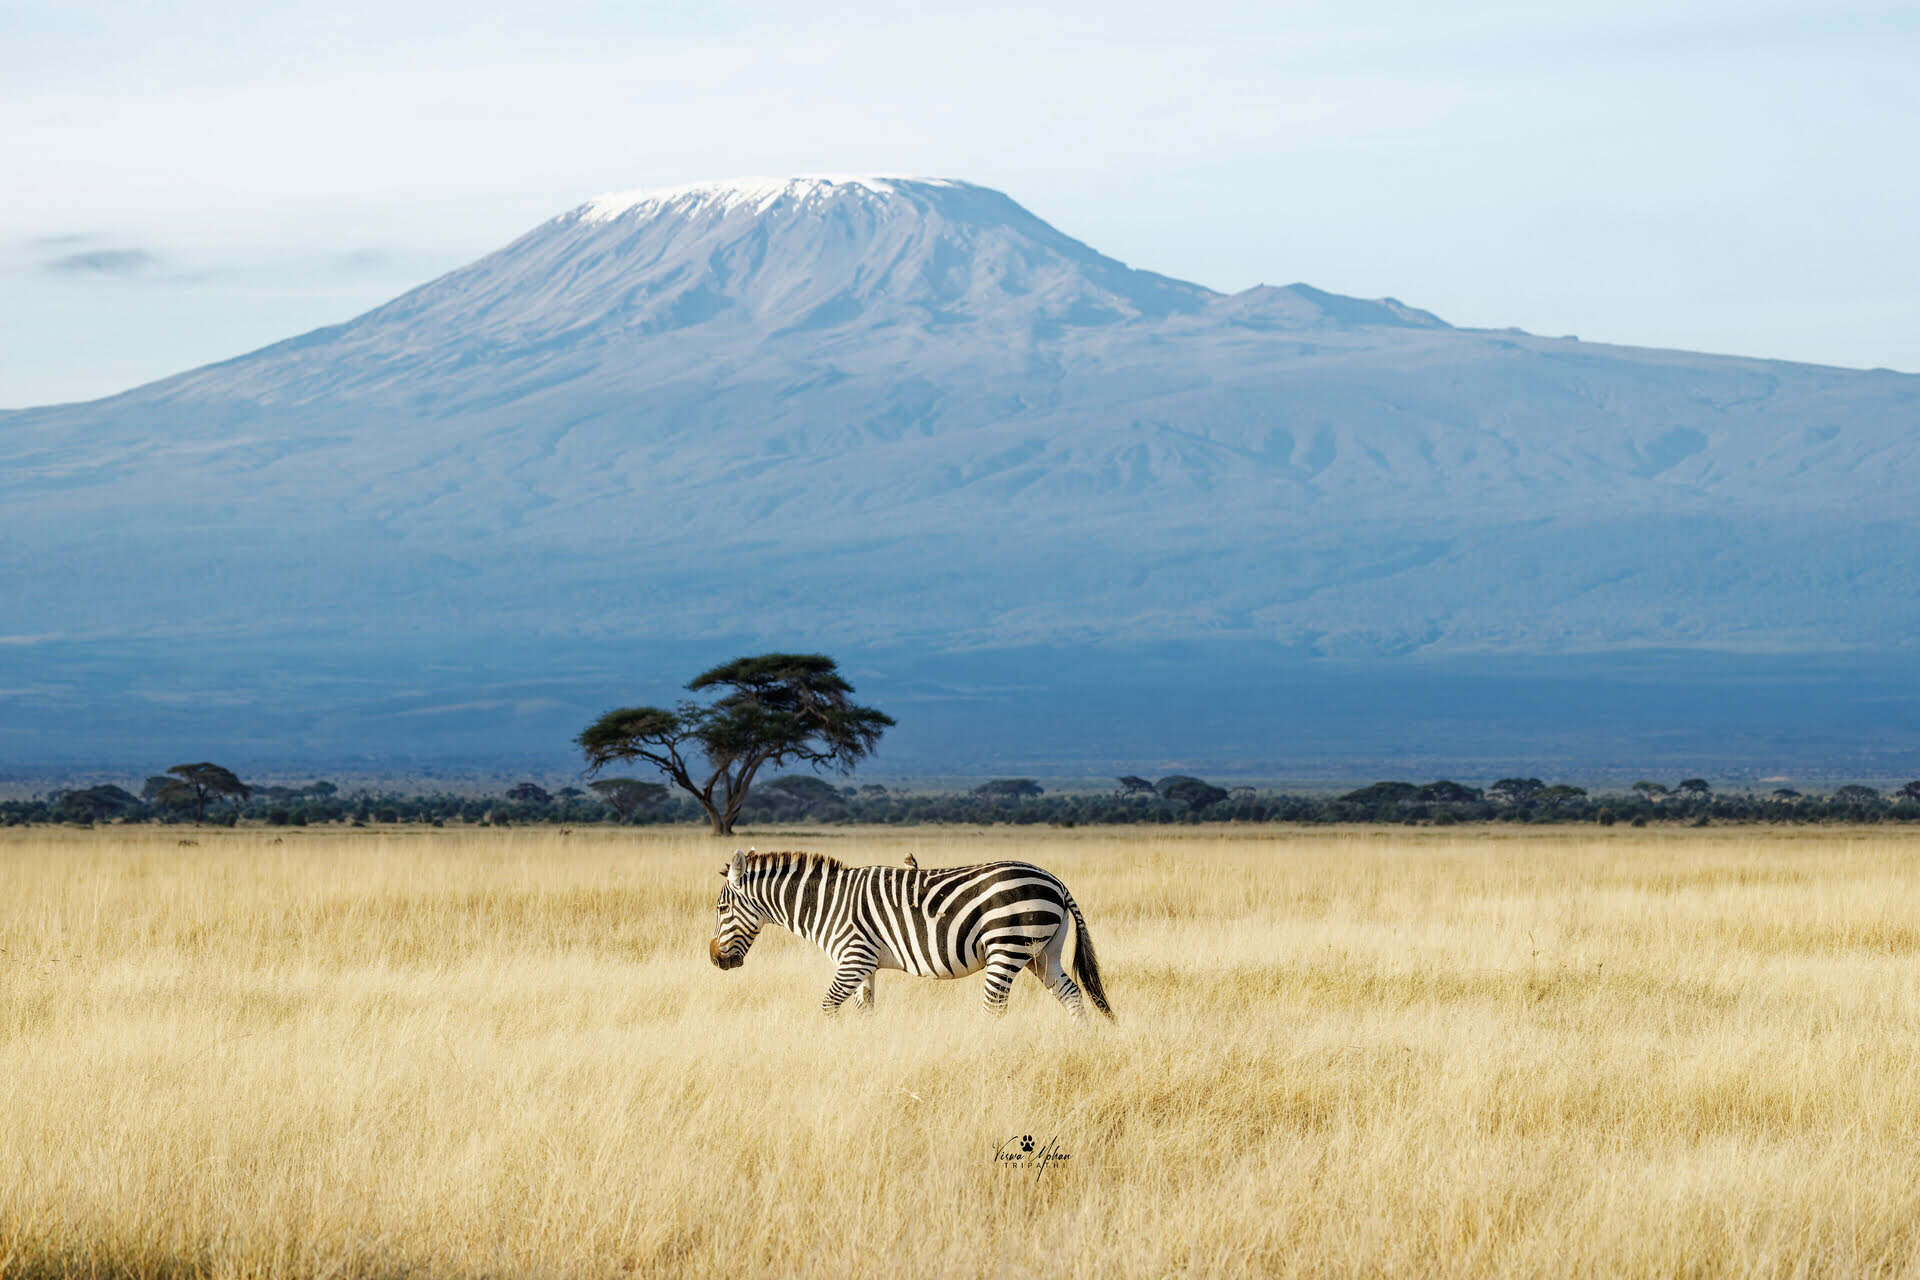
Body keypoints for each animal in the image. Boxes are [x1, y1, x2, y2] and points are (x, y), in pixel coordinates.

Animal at [714, 852, 1121, 1020]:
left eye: (721, 909)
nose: (715, 959)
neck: (826, 905)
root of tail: (1056, 881)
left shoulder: (853, 958)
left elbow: (828, 1006)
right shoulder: (865, 965)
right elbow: (865, 1011)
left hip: (1007, 947)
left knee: (994, 1007)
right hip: (1043, 953)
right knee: (1071, 995)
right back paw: (1079, 1043)